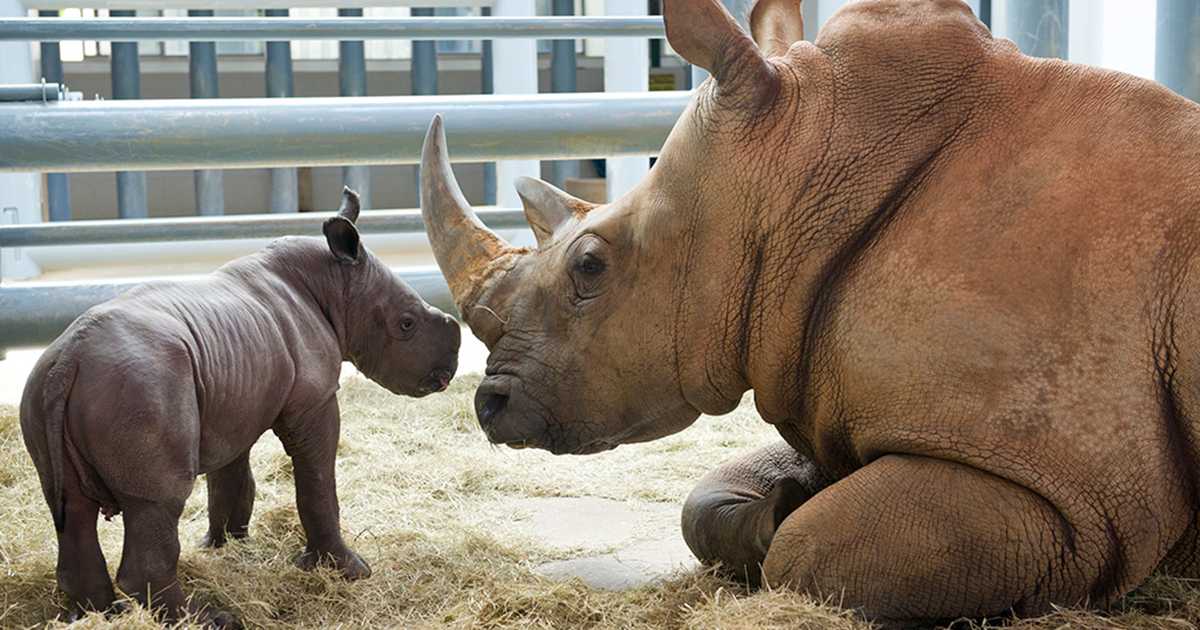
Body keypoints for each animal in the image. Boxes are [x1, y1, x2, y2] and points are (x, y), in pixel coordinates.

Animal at [18, 189, 458, 624]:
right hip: (141, 388)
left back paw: (101, 615)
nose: (447, 370)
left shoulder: (231, 407)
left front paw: (227, 546)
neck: (336, 285)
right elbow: (317, 482)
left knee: (71, 508)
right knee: (157, 502)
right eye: (406, 324)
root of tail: (69, 359)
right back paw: (207, 619)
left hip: (49, 394)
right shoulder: (313, 402)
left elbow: (232, 478)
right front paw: (352, 571)